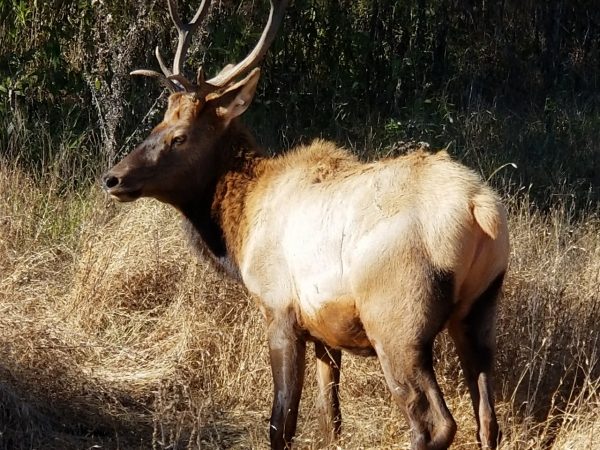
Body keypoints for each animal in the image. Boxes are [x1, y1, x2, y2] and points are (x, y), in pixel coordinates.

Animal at [101, 1, 508, 448]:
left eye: (180, 136)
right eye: (157, 124)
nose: (113, 178)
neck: (239, 228)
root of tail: (479, 209)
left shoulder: (279, 308)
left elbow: (281, 423)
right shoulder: (326, 332)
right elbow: (330, 419)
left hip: (397, 321)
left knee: (435, 423)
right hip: (479, 313)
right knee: (488, 420)